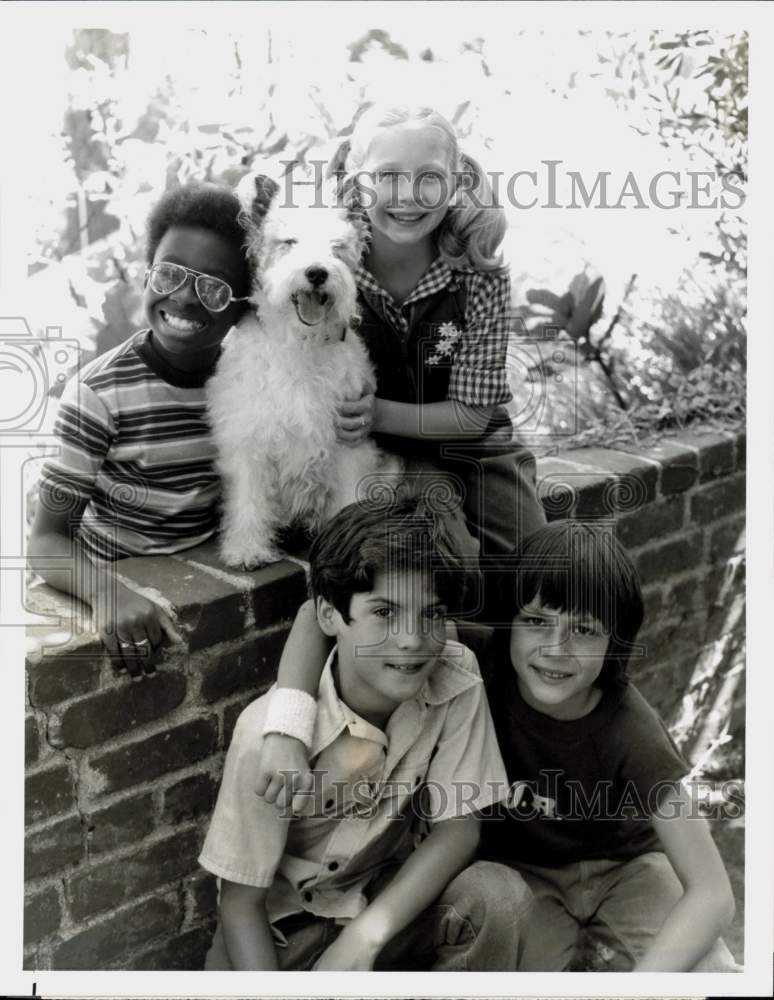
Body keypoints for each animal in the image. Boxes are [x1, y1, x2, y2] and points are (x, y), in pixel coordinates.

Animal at [208, 170, 400, 564]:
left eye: (336, 246)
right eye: (289, 242)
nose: (316, 273)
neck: (300, 344)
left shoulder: (347, 445)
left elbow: (348, 499)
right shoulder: (249, 437)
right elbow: (249, 498)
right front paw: (247, 548)